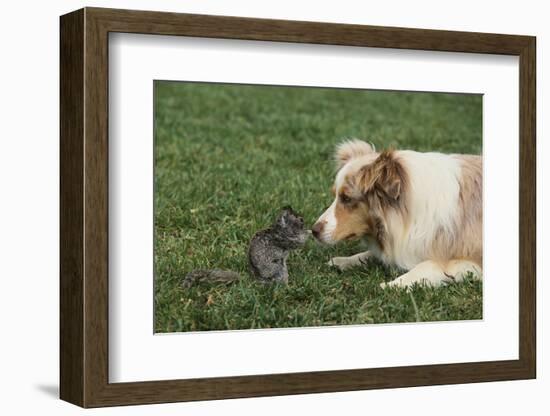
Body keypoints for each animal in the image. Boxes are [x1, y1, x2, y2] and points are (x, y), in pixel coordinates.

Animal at [314, 138, 484, 288]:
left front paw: (393, 285)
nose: (313, 231)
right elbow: (369, 254)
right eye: (336, 195)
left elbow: (429, 264)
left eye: (346, 198)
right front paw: (343, 261)